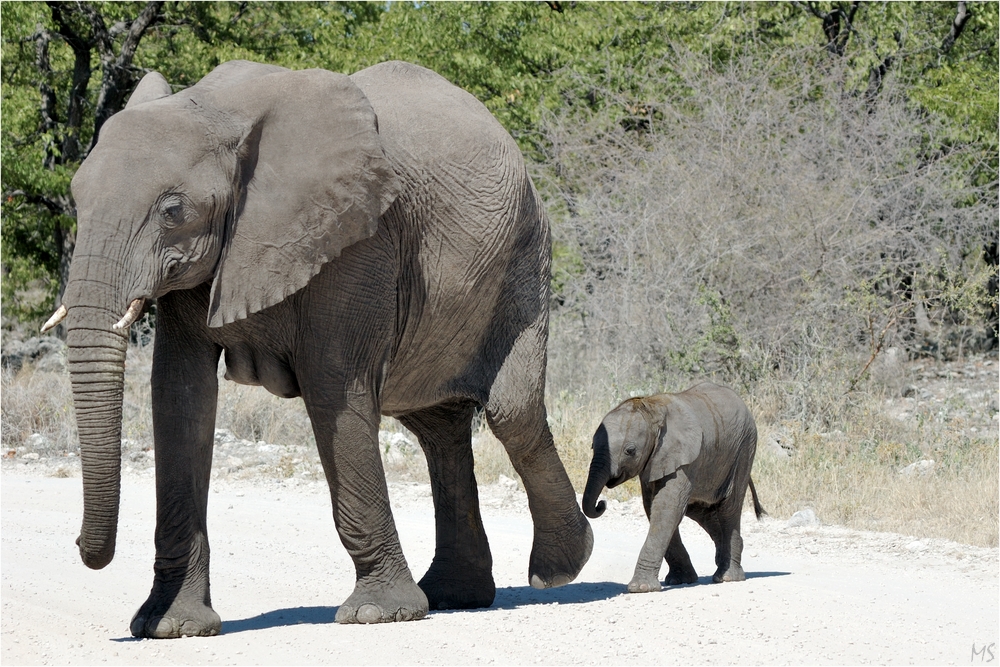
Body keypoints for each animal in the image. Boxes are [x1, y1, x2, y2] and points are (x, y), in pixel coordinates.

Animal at [48, 61, 592, 636]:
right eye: (77, 199)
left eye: (173, 210)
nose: (82, 547)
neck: (217, 110)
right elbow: (179, 394)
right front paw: (169, 627)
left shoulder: (359, 238)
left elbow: (334, 385)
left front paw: (379, 614)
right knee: (437, 429)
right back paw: (454, 595)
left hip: (525, 256)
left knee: (512, 412)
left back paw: (561, 569)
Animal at [584, 384, 760, 592]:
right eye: (593, 446)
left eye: (630, 451)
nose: (601, 504)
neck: (651, 407)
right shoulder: (655, 460)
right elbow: (654, 508)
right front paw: (682, 580)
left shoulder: (681, 458)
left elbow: (667, 508)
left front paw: (641, 588)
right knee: (702, 511)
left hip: (744, 448)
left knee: (728, 507)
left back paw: (727, 577)